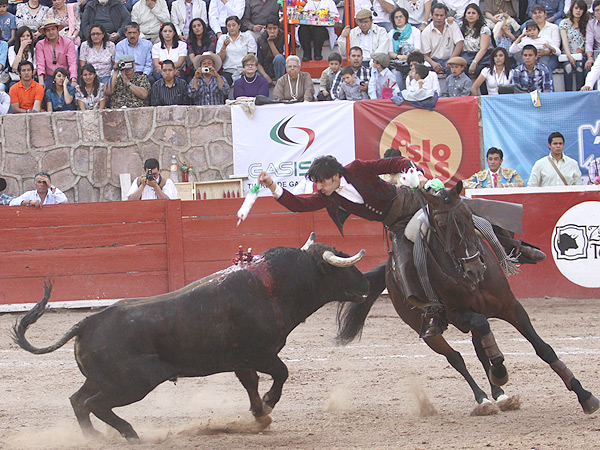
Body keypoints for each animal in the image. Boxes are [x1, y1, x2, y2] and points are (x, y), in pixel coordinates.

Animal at [12, 241, 370, 442]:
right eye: (342, 267)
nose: (367, 284)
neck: (275, 285)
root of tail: (87, 322)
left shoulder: (241, 360)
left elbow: (250, 384)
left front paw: (259, 414)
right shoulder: (261, 353)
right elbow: (280, 374)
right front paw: (268, 406)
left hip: (103, 379)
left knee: (78, 400)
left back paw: (96, 438)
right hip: (133, 384)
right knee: (94, 404)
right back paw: (131, 434)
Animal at [340, 182, 596, 414]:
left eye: (468, 215)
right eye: (442, 225)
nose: (475, 267)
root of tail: (387, 270)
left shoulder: (511, 306)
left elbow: (543, 348)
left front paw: (585, 396)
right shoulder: (458, 315)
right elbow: (481, 337)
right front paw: (500, 373)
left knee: (480, 350)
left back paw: (500, 396)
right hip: (427, 331)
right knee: (456, 357)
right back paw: (483, 399)